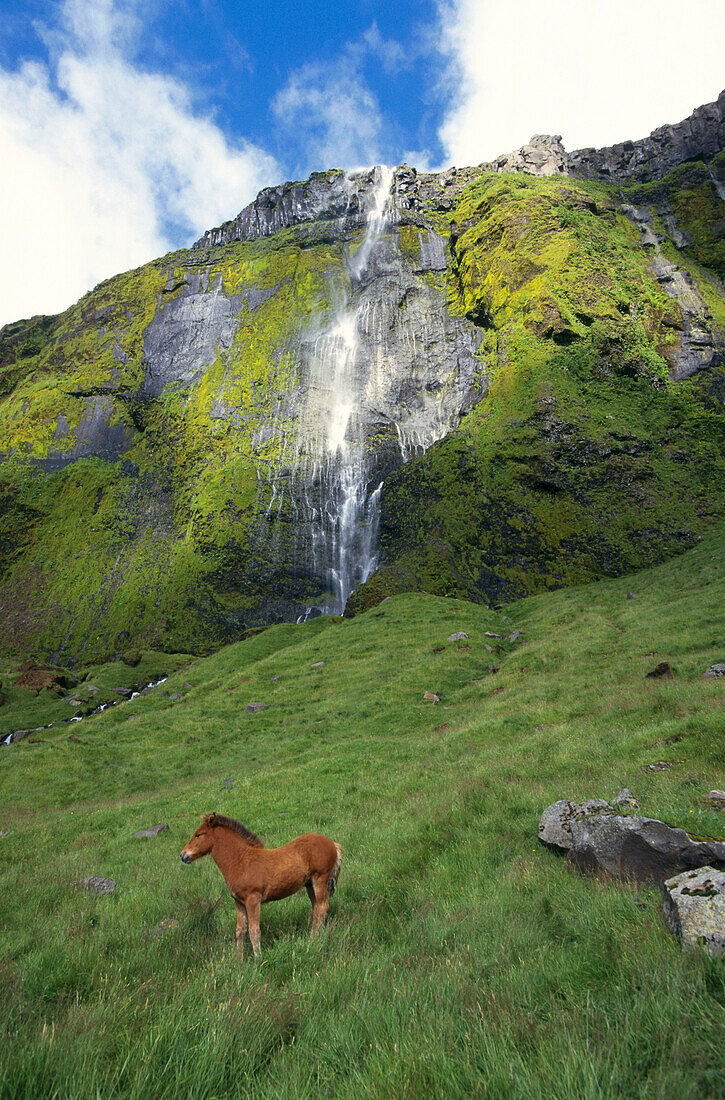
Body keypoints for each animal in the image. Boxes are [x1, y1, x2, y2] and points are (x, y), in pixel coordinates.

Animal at [180, 814, 341, 959]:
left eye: (198, 835)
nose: (183, 855)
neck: (241, 861)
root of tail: (333, 844)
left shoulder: (253, 899)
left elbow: (254, 931)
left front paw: (258, 959)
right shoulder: (239, 902)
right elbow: (240, 930)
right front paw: (239, 960)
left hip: (320, 880)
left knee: (322, 908)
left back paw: (315, 941)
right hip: (309, 885)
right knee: (316, 910)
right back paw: (312, 938)